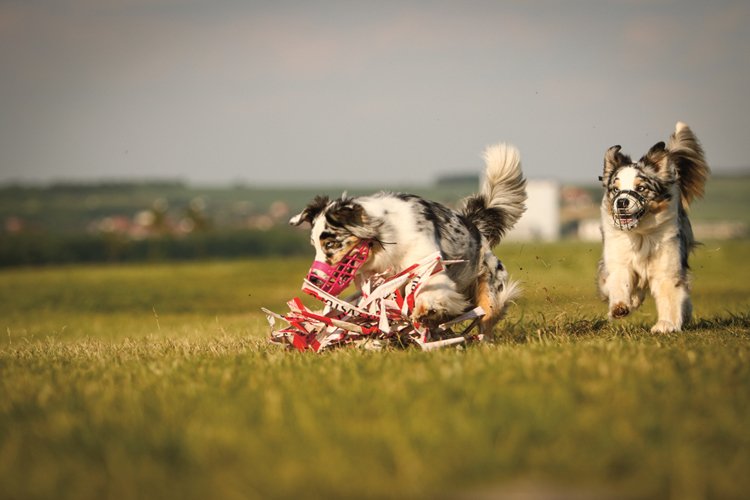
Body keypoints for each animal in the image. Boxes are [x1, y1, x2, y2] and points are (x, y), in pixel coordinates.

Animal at [290, 146, 528, 340]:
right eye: (314, 246)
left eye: (331, 244)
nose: (313, 280)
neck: (388, 239)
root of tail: (475, 226)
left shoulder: (428, 264)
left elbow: (430, 289)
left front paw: (426, 308)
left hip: (489, 290)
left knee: (486, 320)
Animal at [600, 121, 712, 332]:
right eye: (615, 190)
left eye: (641, 188)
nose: (622, 202)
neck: (640, 234)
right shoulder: (618, 259)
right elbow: (619, 282)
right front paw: (619, 307)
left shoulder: (667, 266)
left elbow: (669, 295)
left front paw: (665, 325)